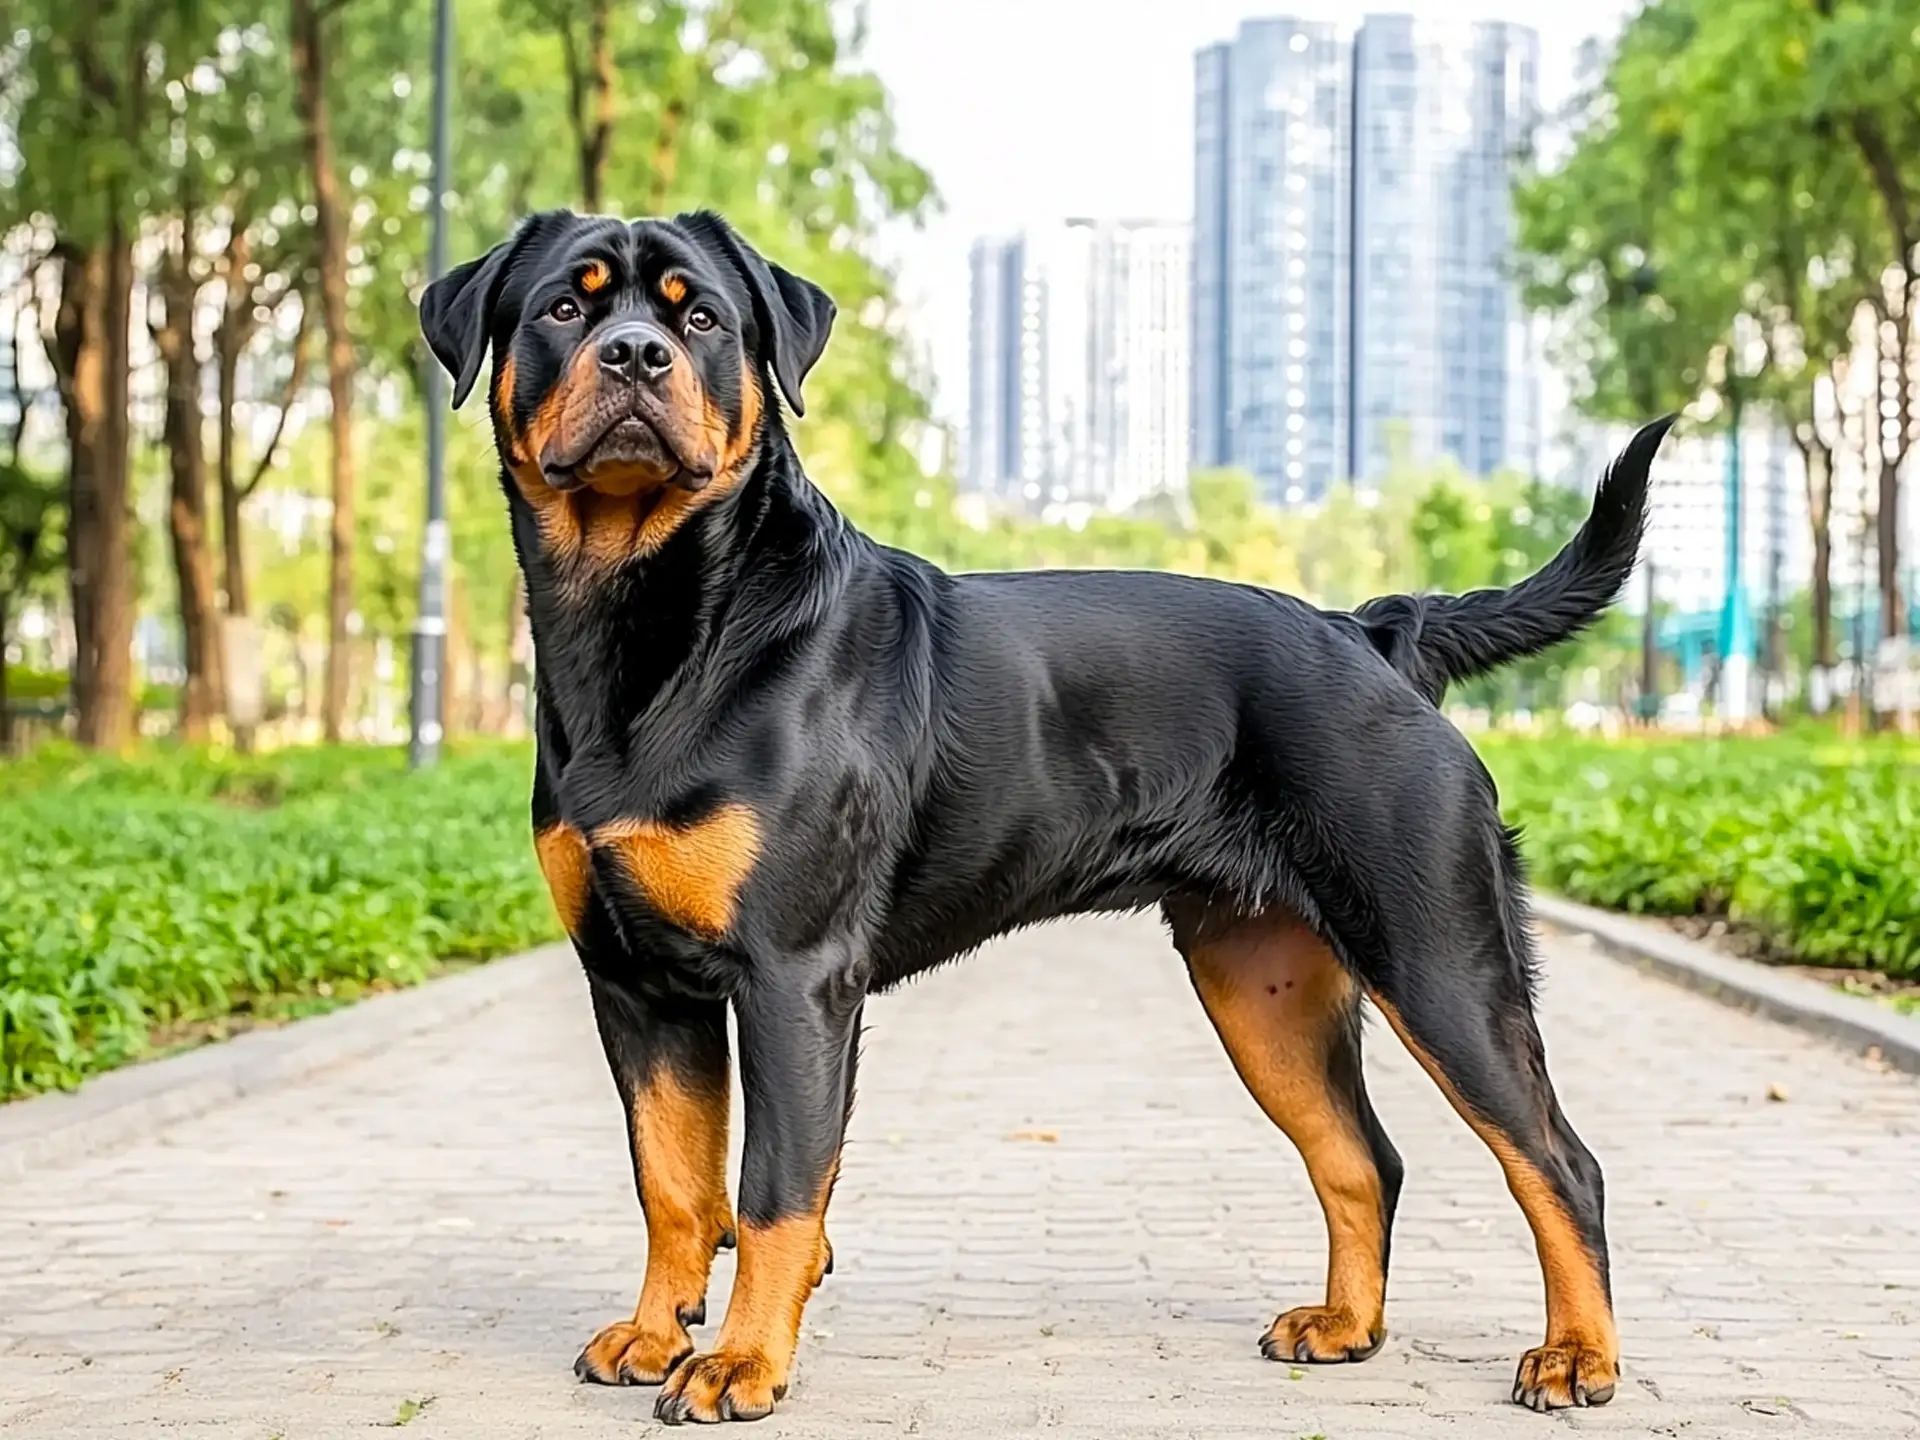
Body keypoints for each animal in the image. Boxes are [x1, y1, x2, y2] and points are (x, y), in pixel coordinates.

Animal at [420, 208, 1666, 1428]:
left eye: (704, 319)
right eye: (564, 307)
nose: (636, 353)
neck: (651, 626)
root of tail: (1372, 634)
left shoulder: (792, 975)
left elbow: (771, 1192)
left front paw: (739, 1366)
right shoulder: (636, 983)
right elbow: (673, 1184)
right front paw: (652, 1333)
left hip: (1437, 956)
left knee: (1560, 1163)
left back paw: (1576, 1357)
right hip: (1260, 985)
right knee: (1364, 1158)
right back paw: (1346, 1327)